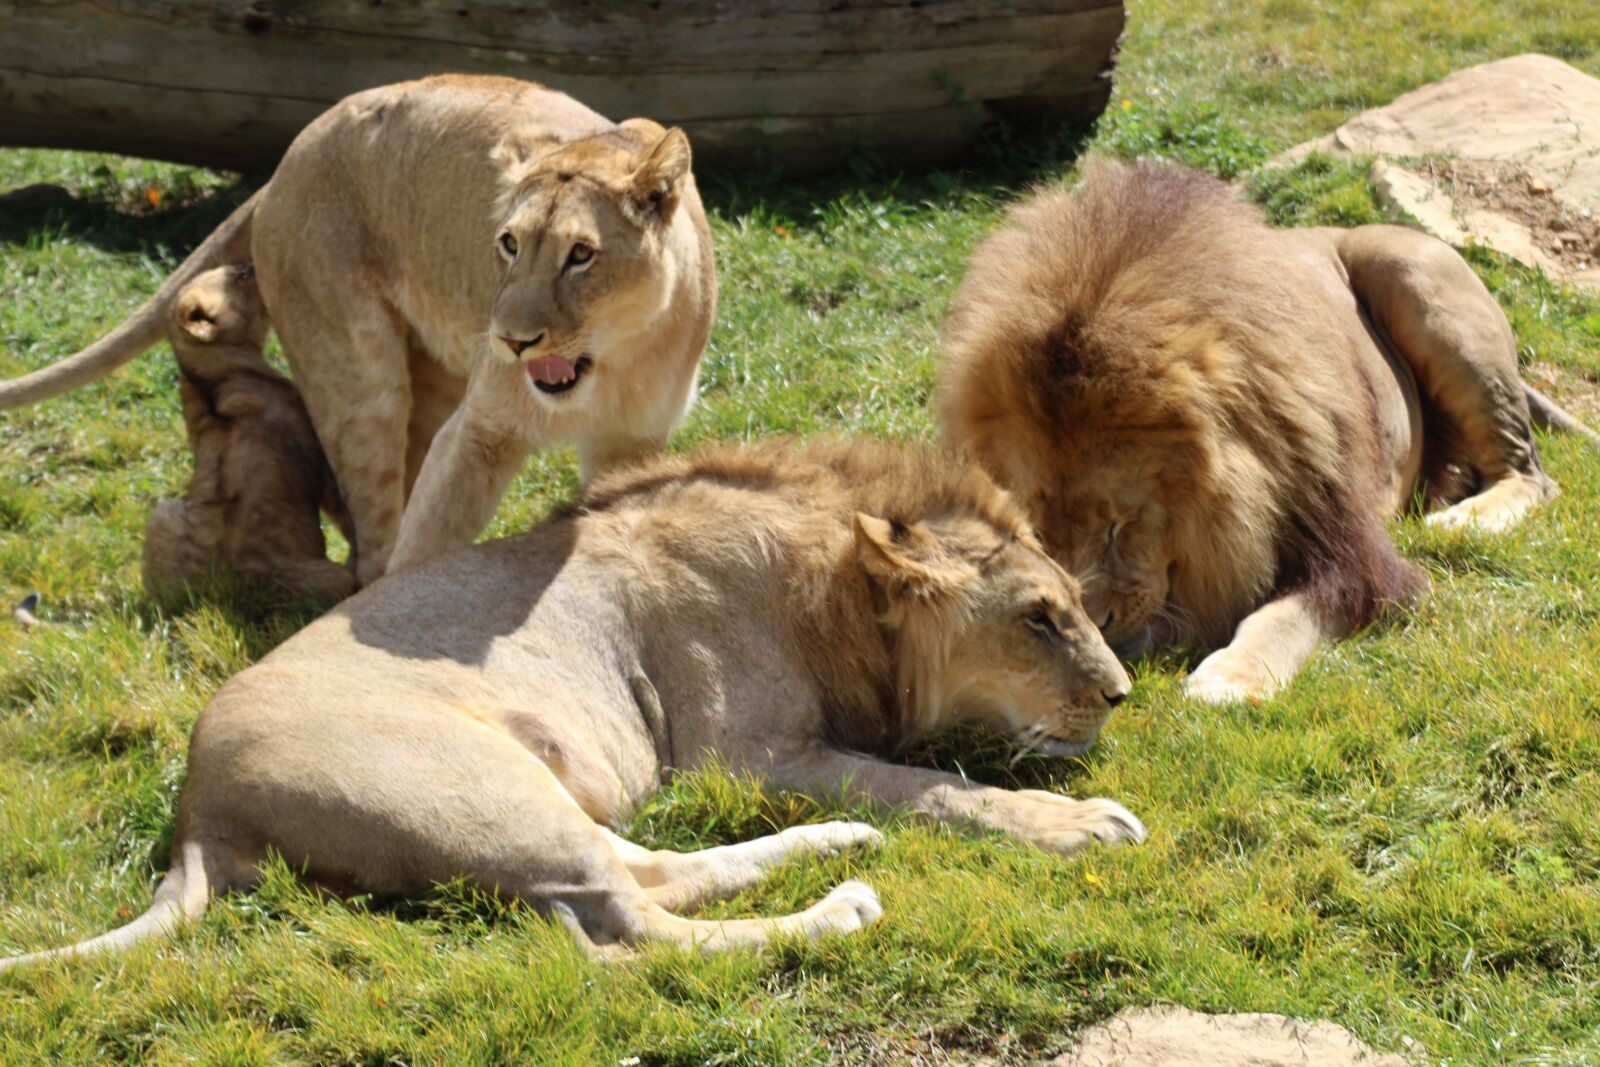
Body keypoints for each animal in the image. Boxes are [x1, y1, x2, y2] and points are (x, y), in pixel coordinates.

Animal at [0, 438, 1141, 969]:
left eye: (1075, 604)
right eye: (1040, 617)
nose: (1122, 692)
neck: (833, 590)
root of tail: (198, 807)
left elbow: (913, 780)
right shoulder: (745, 755)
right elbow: (934, 784)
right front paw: (1079, 821)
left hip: (528, 794)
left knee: (648, 870)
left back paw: (833, 842)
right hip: (477, 787)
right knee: (631, 919)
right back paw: (843, 901)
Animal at [140, 263, 356, 602]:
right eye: (241, 276)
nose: (250, 262)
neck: (210, 377)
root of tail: (227, 589)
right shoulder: (314, 453)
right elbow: (341, 508)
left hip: (162, 514)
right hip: (327, 577)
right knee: (343, 579)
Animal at [939, 157, 1592, 704]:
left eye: (1123, 523)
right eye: (1038, 531)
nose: (1096, 624)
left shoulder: (1351, 560)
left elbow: (1278, 616)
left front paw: (1227, 678)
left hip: (1412, 275)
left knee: (1530, 471)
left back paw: (1466, 521)